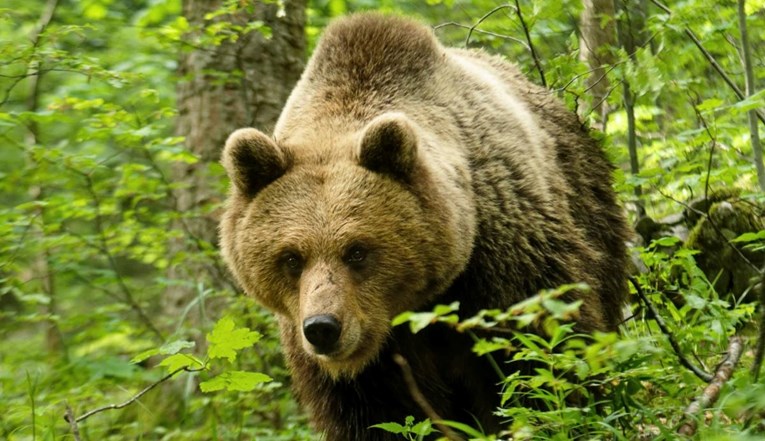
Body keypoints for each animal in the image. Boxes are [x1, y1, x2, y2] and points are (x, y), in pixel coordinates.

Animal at [218, 12, 628, 440]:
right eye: (291, 257)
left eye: (357, 250)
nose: (323, 328)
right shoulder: (357, 363)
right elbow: (378, 414)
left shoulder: (505, 259)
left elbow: (538, 356)